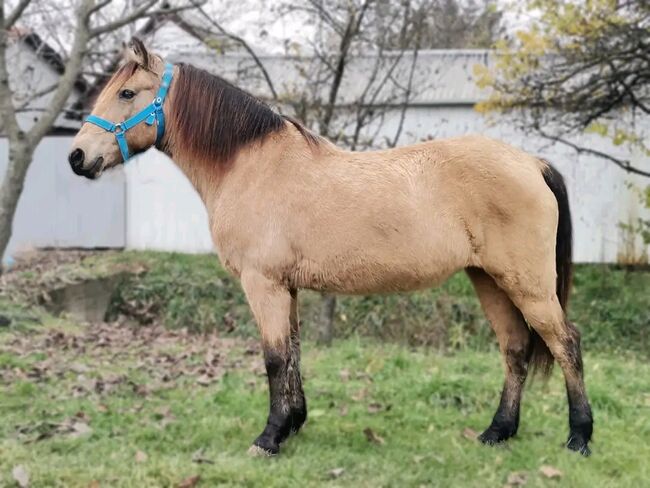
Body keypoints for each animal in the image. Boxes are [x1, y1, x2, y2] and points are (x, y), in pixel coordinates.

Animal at [68, 38, 588, 458]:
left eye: (127, 94)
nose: (77, 157)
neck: (249, 165)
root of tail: (531, 162)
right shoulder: (287, 288)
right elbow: (294, 353)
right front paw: (293, 425)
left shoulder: (263, 285)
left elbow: (274, 357)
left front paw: (269, 438)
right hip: (491, 281)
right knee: (515, 349)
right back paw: (498, 432)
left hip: (528, 285)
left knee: (566, 343)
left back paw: (579, 438)